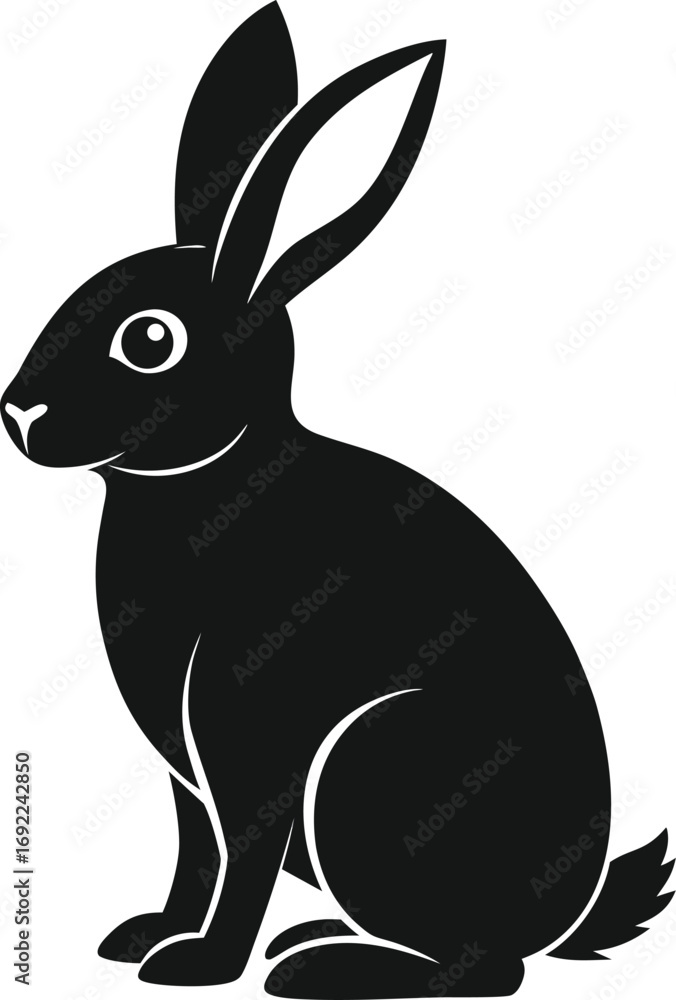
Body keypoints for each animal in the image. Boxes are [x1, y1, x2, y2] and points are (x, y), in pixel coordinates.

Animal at [2, 2, 672, 996]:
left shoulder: (247, 736)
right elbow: (193, 852)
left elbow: (238, 856)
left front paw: (197, 965)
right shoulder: (184, 773)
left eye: (149, 340)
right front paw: (145, 938)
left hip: (373, 768)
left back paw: (317, 965)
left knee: (487, 967)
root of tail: (571, 909)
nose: (18, 413)